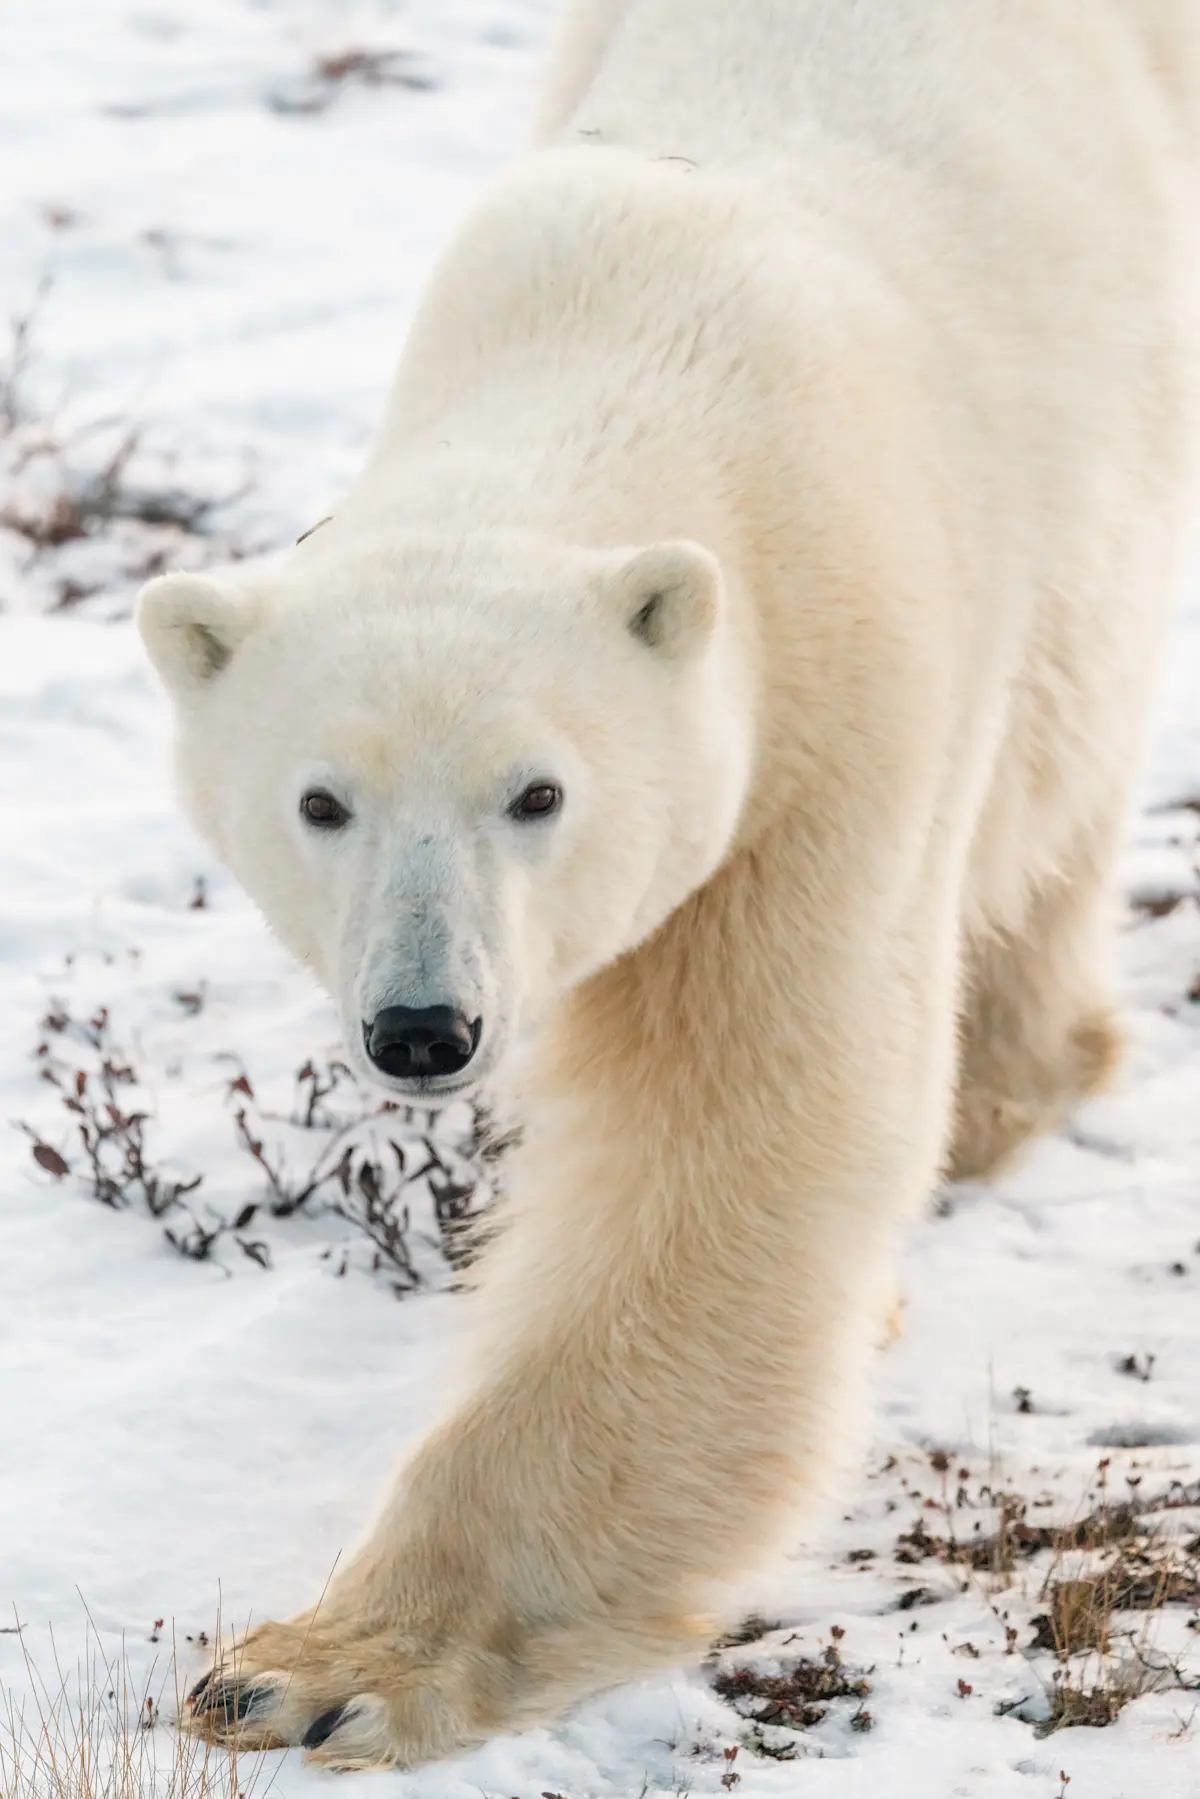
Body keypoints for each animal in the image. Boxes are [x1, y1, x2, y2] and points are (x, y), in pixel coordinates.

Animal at [137, 0, 1200, 1771]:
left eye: (539, 789)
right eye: (321, 799)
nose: (423, 1027)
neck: (637, 333)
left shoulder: (831, 703)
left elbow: (741, 1138)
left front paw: (316, 1664)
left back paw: (1009, 1074)